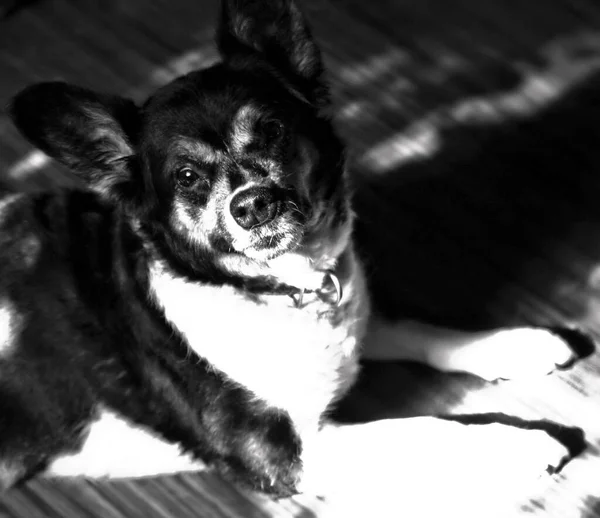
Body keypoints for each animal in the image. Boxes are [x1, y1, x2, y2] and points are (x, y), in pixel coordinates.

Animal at [0, 0, 592, 512]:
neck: (273, 291)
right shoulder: (283, 457)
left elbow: (419, 330)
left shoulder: (351, 309)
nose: (254, 205)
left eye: (272, 129)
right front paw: (525, 443)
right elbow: (424, 426)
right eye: (186, 177)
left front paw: (517, 345)